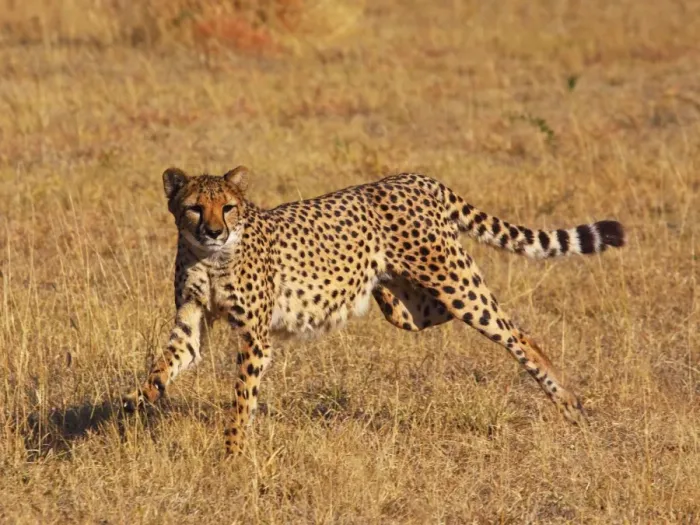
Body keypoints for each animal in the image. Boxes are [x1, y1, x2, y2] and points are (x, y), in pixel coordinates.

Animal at [123, 166, 625, 455]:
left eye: (227, 207)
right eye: (194, 207)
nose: (213, 231)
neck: (210, 257)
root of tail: (414, 177)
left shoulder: (254, 338)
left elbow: (242, 399)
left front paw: (232, 454)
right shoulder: (191, 321)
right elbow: (164, 364)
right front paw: (136, 401)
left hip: (456, 283)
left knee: (518, 334)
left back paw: (568, 402)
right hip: (413, 307)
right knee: (425, 312)